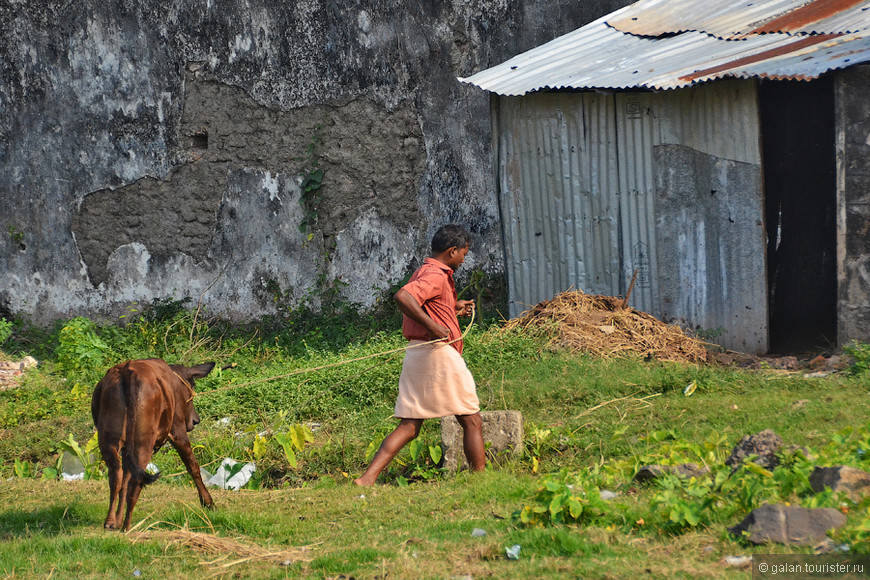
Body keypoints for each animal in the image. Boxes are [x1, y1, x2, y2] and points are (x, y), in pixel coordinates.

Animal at [90, 358, 218, 532]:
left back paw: (111, 521)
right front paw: (208, 502)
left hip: (109, 440)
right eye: (192, 386)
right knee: (136, 482)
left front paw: (117, 520)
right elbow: (193, 466)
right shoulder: (177, 430)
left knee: (117, 476)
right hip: (143, 442)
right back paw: (127, 527)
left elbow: (124, 480)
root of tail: (127, 371)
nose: (195, 420)